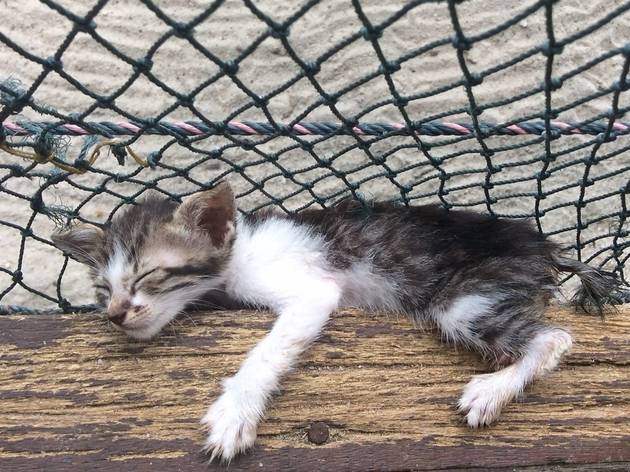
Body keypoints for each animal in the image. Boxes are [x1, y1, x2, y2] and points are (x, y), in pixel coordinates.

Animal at [50, 183, 624, 462]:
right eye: (103, 289)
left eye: (148, 275)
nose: (115, 314)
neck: (239, 252)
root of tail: (544, 247)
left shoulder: (313, 292)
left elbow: (266, 351)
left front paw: (235, 415)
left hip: (464, 301)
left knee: (554, 338)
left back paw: (491, 391)